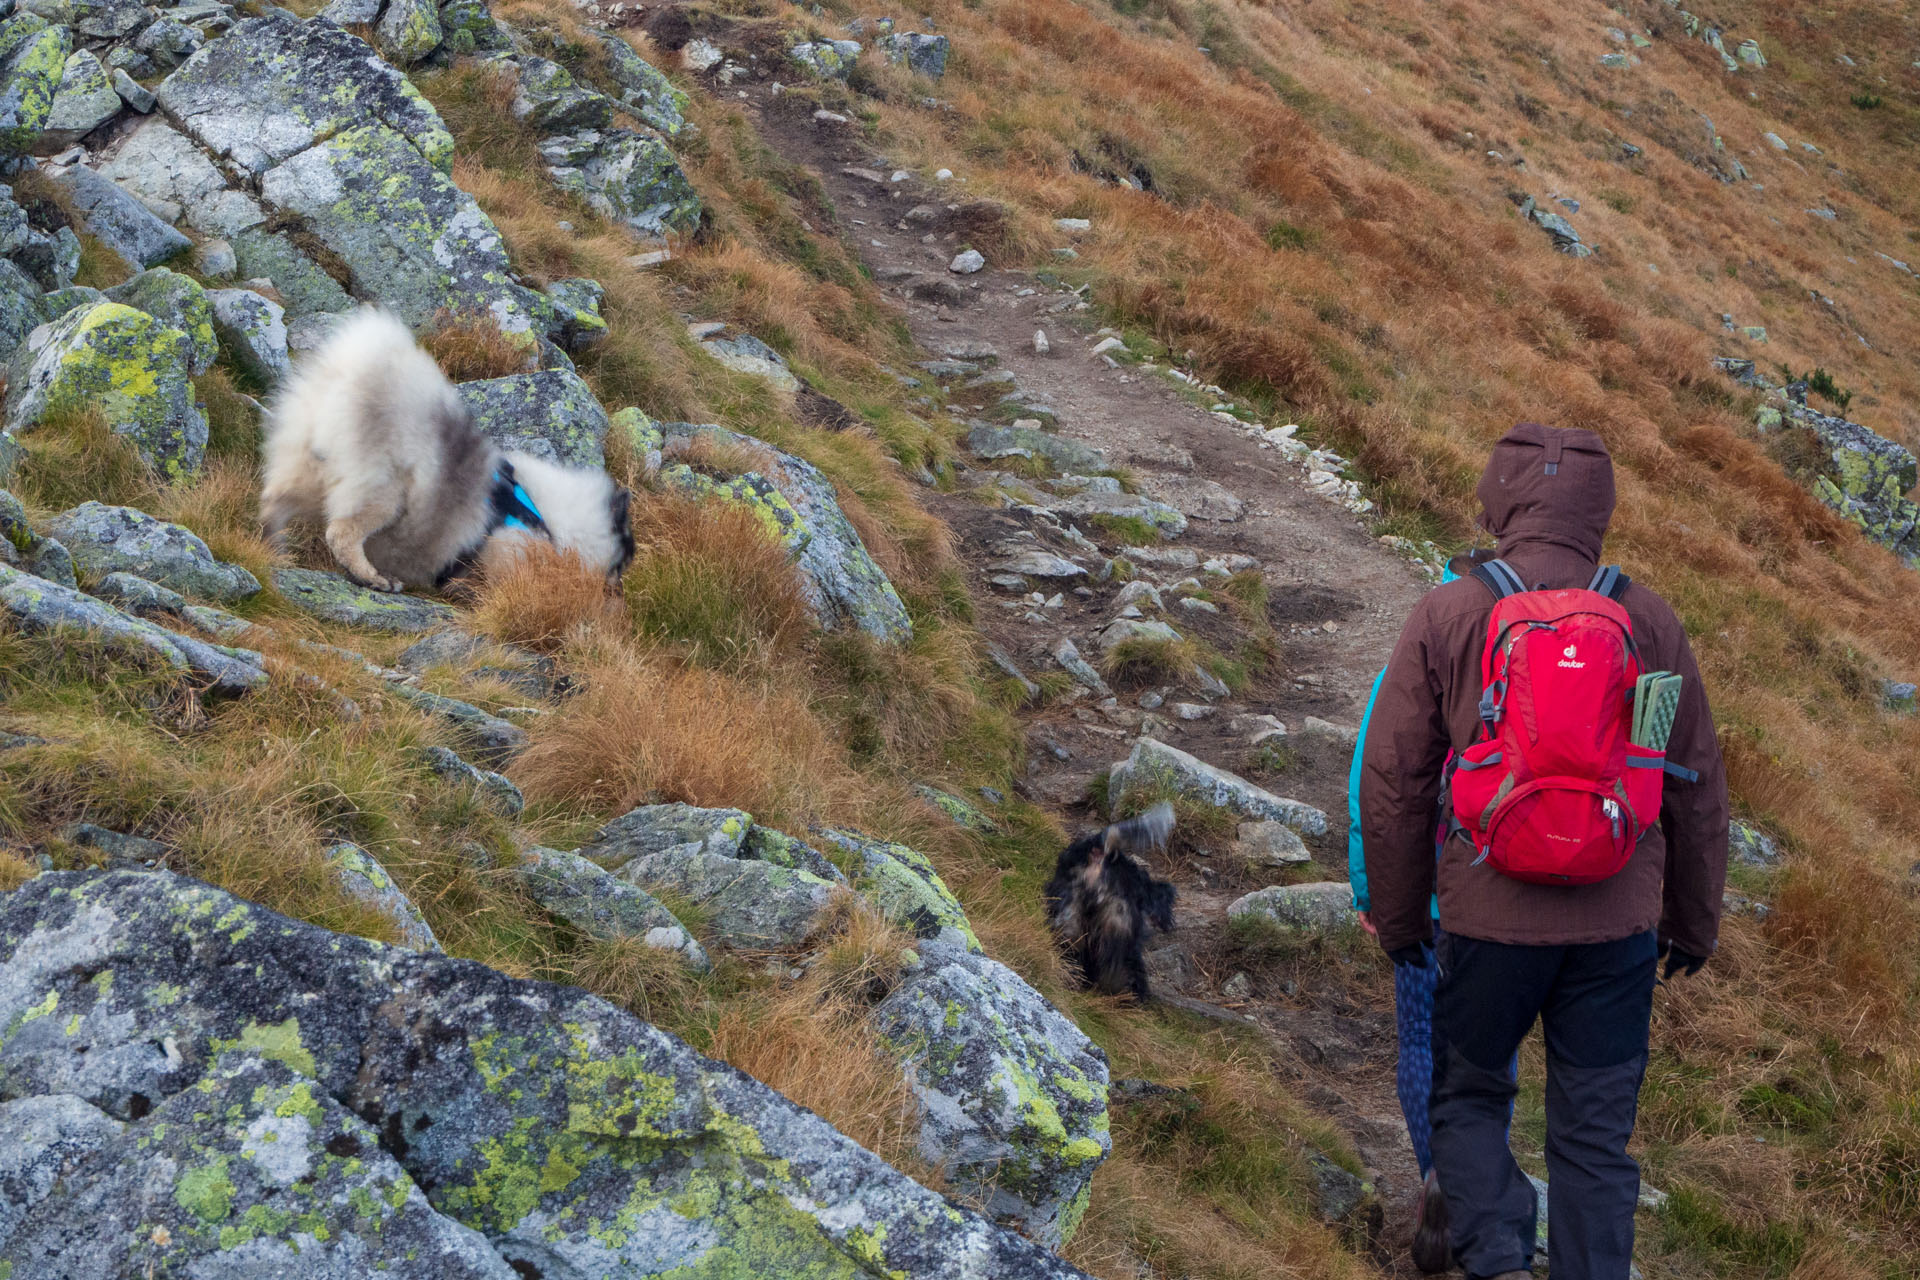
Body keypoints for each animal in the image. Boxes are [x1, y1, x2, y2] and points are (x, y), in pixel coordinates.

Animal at [261, 307, 637, 594]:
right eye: (624, 562)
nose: (618, 593)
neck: (548, 519)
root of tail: (356, 367)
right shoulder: (511, 549)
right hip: (383, 491)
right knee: (341, 533)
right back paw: (375, 578)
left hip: (305, 468)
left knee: (274, 505)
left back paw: (274, 550)